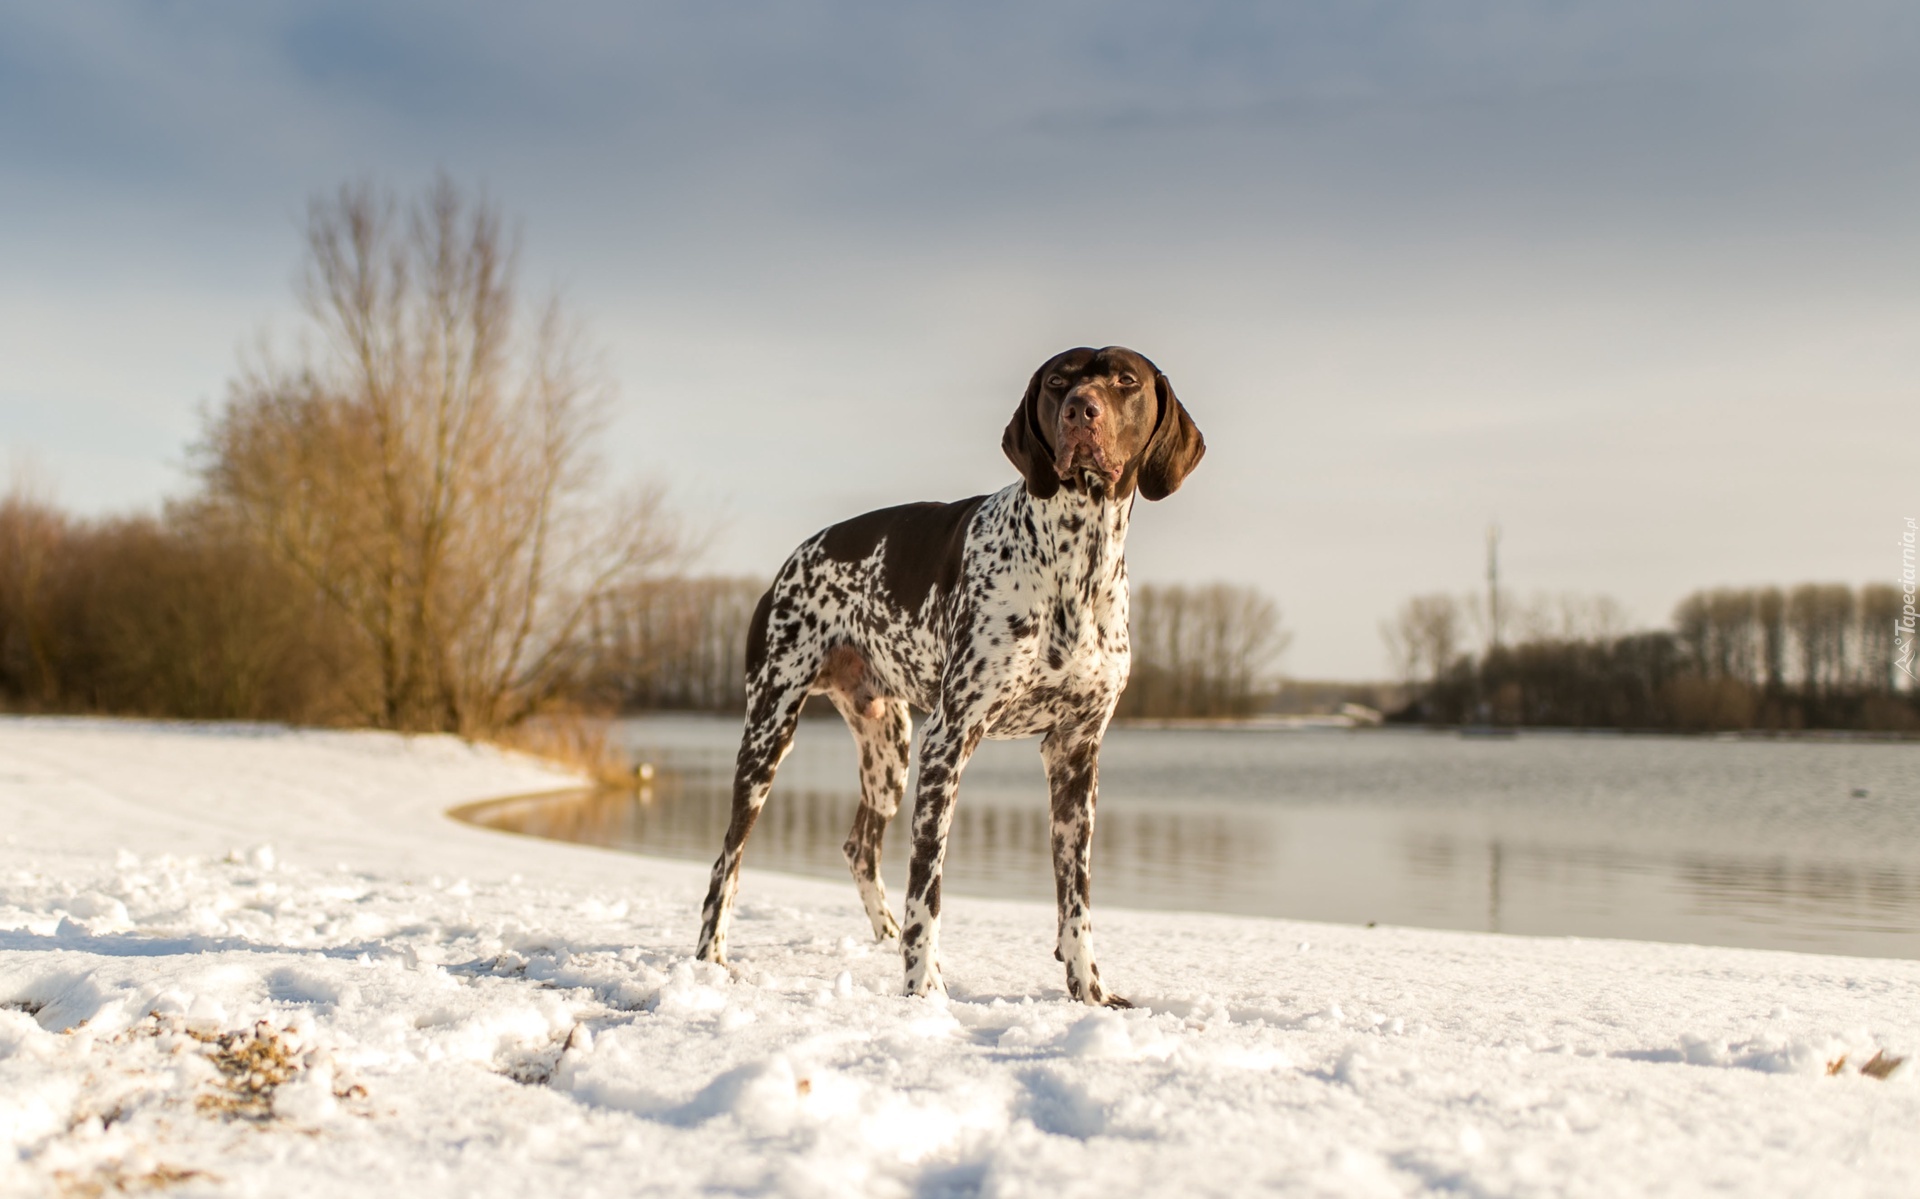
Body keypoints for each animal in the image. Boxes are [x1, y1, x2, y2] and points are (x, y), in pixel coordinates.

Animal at [691, 343, 1198, 999]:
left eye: (1125, 381)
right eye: (1058, 382)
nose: (1080, 412)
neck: (1076, 560)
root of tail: (795, 556)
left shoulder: (1075, 754)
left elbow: (1076, 899)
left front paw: (1090, 991)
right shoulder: (950, 741)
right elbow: (927, 892)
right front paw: (922, 992)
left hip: (889, 753)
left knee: (858, 847)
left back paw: (882, 935)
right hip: (769, 735)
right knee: (727, 860)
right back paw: (711, 957)